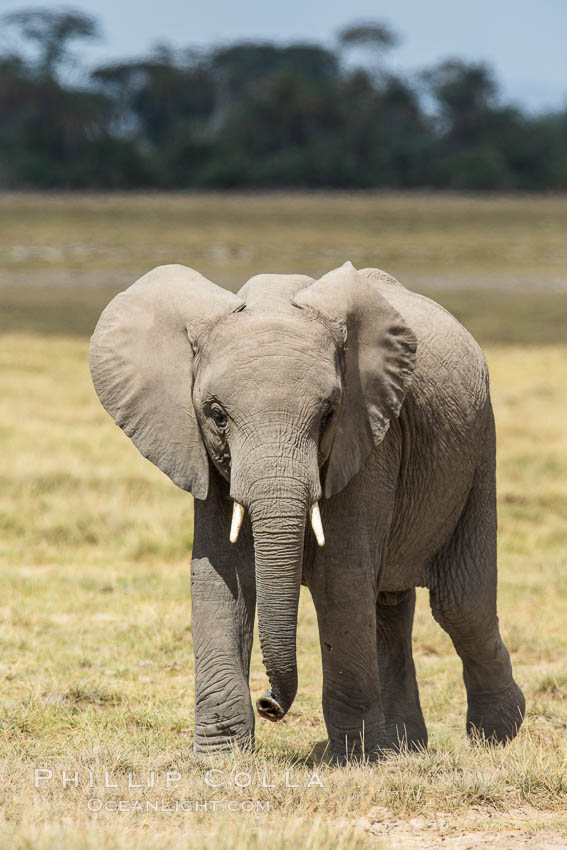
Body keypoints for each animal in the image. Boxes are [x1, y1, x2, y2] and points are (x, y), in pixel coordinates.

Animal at [90, 262, 528, 760]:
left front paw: (356, 759)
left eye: (329, 415)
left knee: (460, 603)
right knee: (390, 607)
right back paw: (404, 747)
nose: (269, 704)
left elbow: (341, 577)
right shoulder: (201, 455)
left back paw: (496, 733)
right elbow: (222, 577)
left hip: (480, 448)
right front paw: (221, 757)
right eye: (216, 415)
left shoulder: (369, 436)